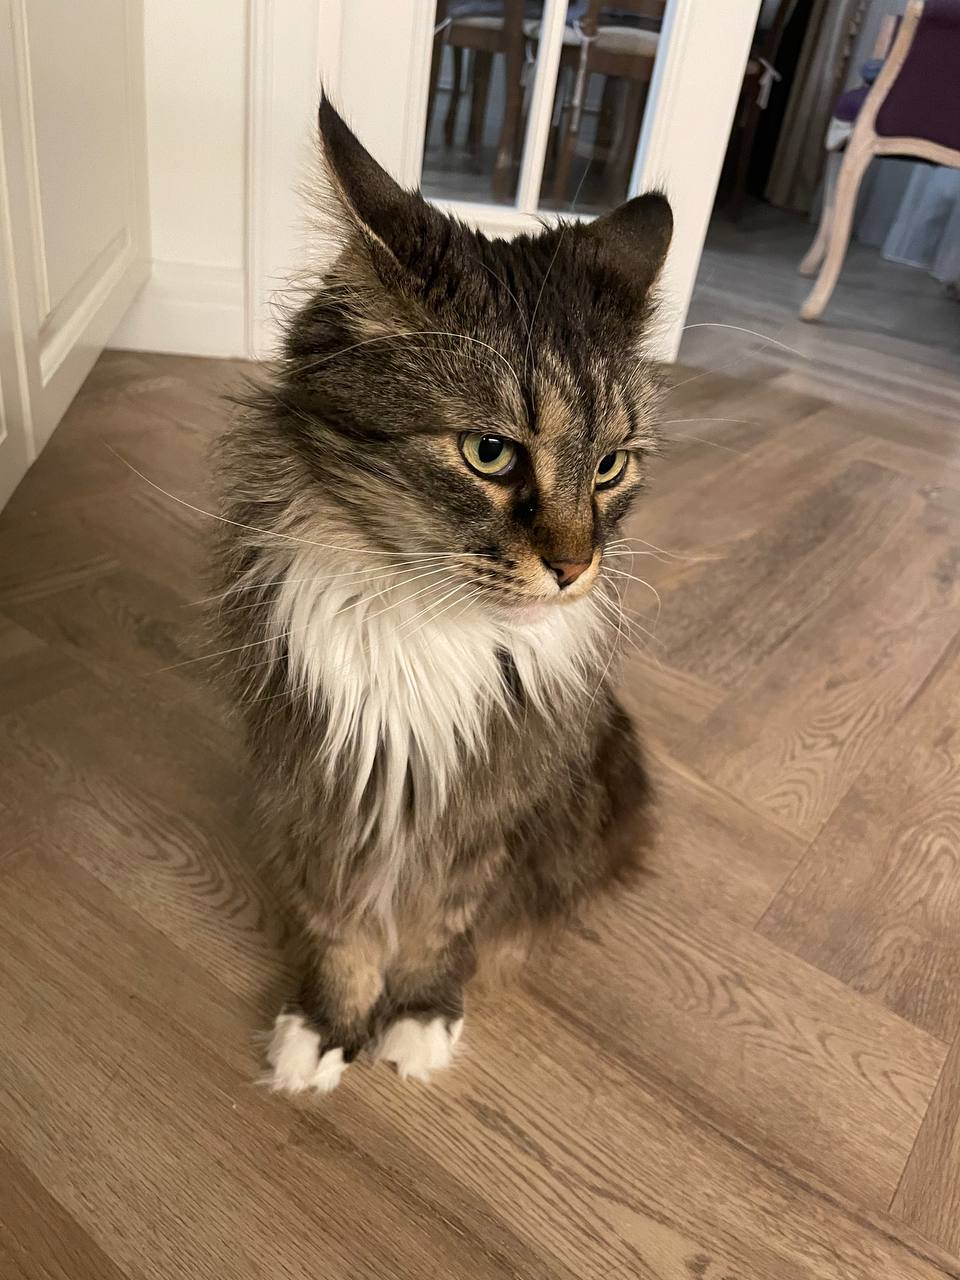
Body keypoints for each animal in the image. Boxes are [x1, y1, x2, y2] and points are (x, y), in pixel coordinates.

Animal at [213, 97, 671, 1094]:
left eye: (610, 467)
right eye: (489, 453)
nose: (575, 566)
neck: (424, 627)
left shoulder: (490, 812)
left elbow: (442, 928)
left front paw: (419, 1018)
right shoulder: (328, 789)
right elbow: (343, 927)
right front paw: (325, 1030)